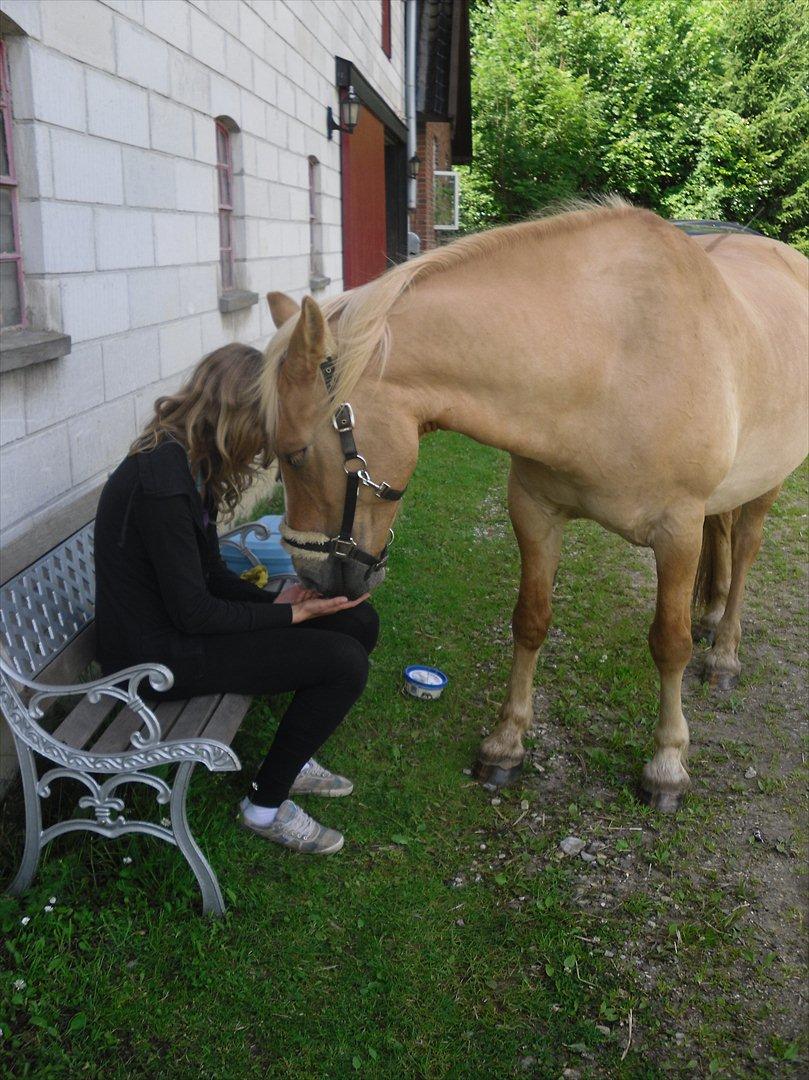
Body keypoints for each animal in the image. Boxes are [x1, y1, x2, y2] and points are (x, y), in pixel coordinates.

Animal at [262, 200, 803, 812]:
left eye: (296, 454)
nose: (313, 578)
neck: (610, 356)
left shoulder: (677, 531)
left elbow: (670, 644)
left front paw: (666, 765)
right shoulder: (535, 511)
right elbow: (530, 621)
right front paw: (506, 744)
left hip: (768, 483)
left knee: (746, 552)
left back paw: (725, 653)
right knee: (724, 540)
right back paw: (710, 616)